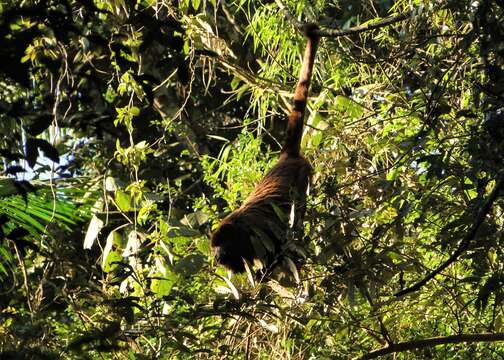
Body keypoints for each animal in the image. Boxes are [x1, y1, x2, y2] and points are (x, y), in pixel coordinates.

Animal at [210, 24, 318, 272]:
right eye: (214, 248)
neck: (238, 232)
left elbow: (275, 249)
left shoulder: (256, 232)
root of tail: (286, 157)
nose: (216, 256)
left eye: (220, 245)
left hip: (303, 173)